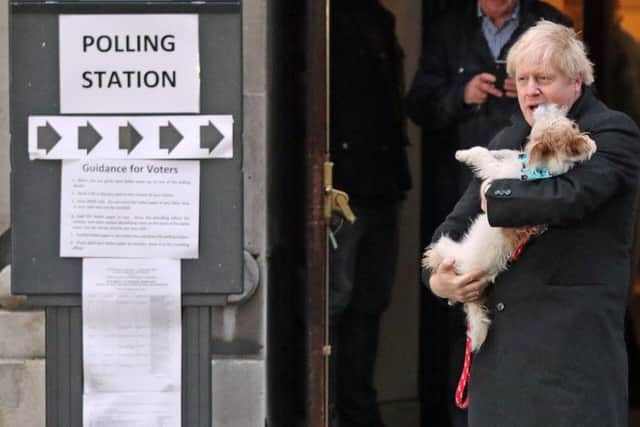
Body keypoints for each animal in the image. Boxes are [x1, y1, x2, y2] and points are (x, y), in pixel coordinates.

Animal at [424, 105, 596, 352]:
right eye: (569, 123)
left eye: (553, 119)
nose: (546, 106)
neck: (542, 168)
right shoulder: (509, 159)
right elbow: (503, 151)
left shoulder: (497, 174)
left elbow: (483, 155)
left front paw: (464, 153)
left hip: (455, 252)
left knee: (441, 253)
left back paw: (434, 254)